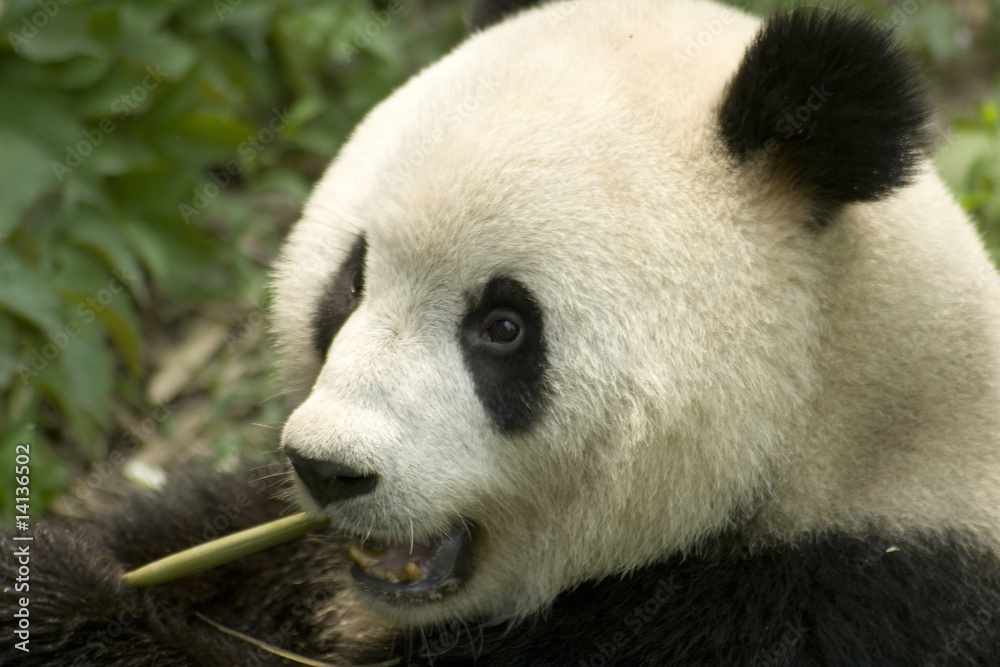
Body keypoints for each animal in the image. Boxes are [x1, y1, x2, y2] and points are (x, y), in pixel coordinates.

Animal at [5, 0, 1000, 664]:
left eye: (504, 324)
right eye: (350, 282)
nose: (329, 468)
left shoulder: (809, 605)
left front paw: (59, 598)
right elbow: (211, 529)